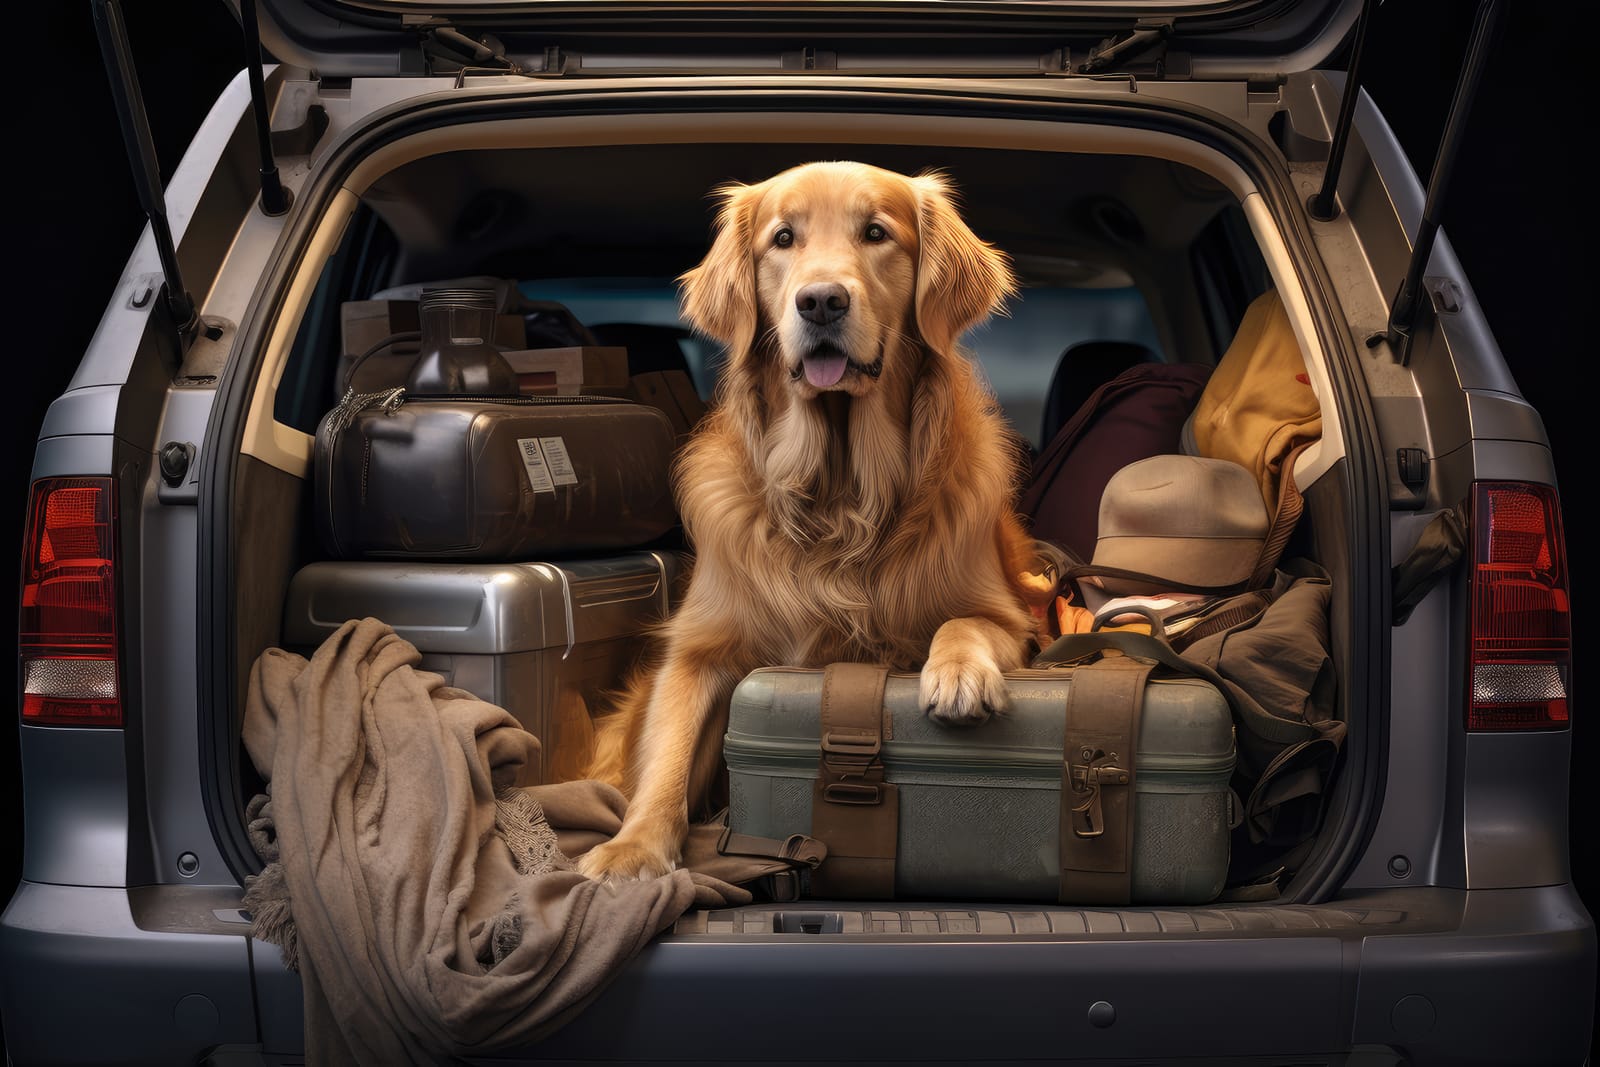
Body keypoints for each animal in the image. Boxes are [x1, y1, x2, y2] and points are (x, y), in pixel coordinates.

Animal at [576, 158, 1036, 883]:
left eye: (876, 232)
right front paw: (636, 845)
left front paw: (959, 673)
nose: (821, 301)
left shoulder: (1014, 621)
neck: (840, 492)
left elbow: (966, 622)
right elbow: (669, 750)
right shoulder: (700, 646)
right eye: (783, 238)